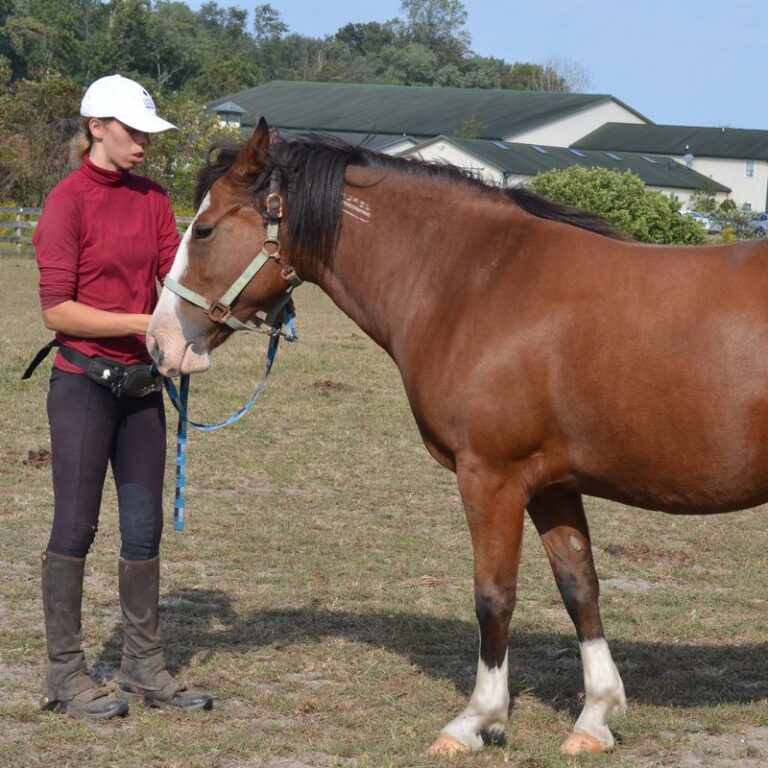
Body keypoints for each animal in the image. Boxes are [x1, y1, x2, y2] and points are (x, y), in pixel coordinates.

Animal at [147, 118, 768, 756]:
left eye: (204, 228)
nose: (159, 342)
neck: (477, 282)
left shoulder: (491, 477)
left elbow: (493, 595)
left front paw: (476, 719)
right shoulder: (552, 485)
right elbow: (580, 587)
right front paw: (595, 717)